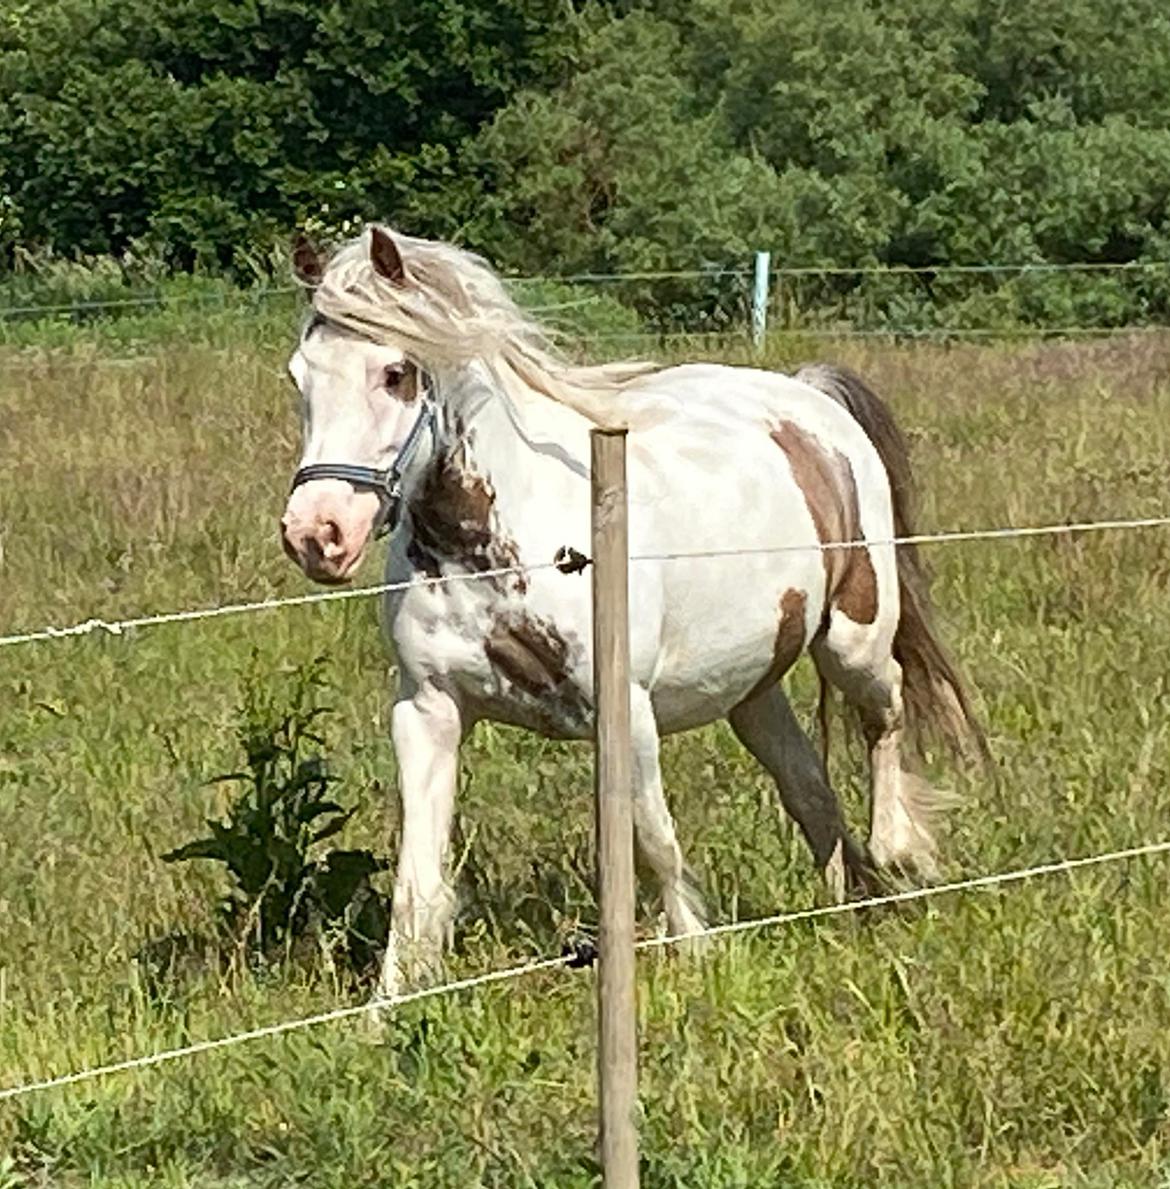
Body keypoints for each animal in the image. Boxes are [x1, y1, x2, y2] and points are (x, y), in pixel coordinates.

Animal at [278, 224, 984, 994]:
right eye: (299, 376)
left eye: (396, 373)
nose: (316, 534)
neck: (505, 548)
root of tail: (808, 396)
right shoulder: (428, 711)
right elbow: (418, 879)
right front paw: (394, 1000)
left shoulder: (627, 711)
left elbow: (654, 839)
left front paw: (697, 957)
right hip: (750, 687)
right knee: (808, 786)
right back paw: (847, 900)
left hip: (855, 639)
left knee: (885, 714)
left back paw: (898, 852)